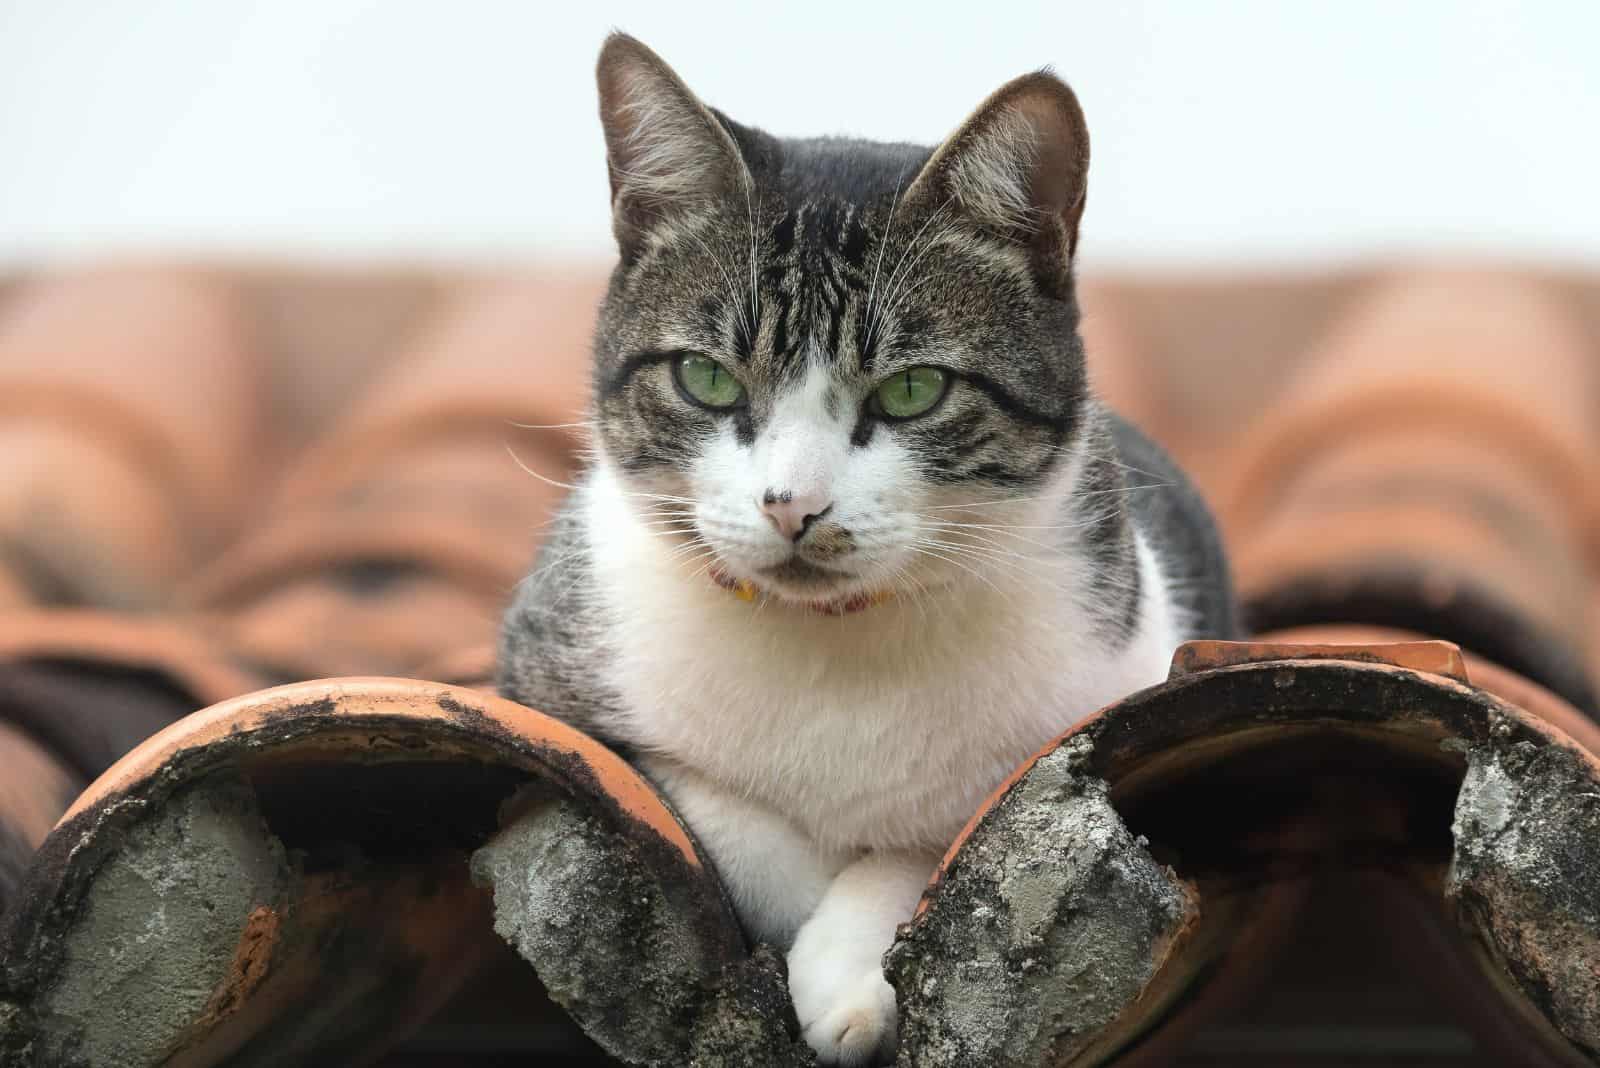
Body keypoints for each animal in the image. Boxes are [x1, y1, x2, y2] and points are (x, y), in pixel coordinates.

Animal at [499, 33, 1235, 1068]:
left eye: (914, 390)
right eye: (705, 376)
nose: (792, 507)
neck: (831, 645)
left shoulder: (1096, 706)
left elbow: (936, 837)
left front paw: (845, 968)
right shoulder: (543, 681)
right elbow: (699, 802)